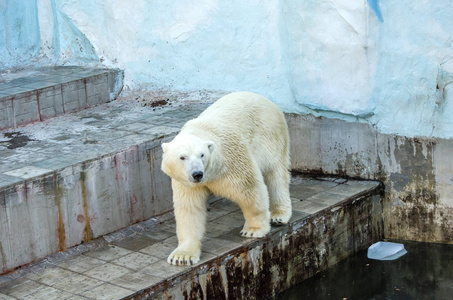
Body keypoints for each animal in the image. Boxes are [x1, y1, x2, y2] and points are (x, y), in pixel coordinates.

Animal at [161, 91, 292, 264]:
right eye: (182, 157)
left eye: (202, 155)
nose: (197, 174)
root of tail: (268, 100)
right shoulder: (186, 183)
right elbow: (189, 209)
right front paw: (182, 256)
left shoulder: (232, 162)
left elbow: (249, 190)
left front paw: (252, 230)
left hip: (270, 136)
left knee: (276, 174)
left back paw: (279, 215)